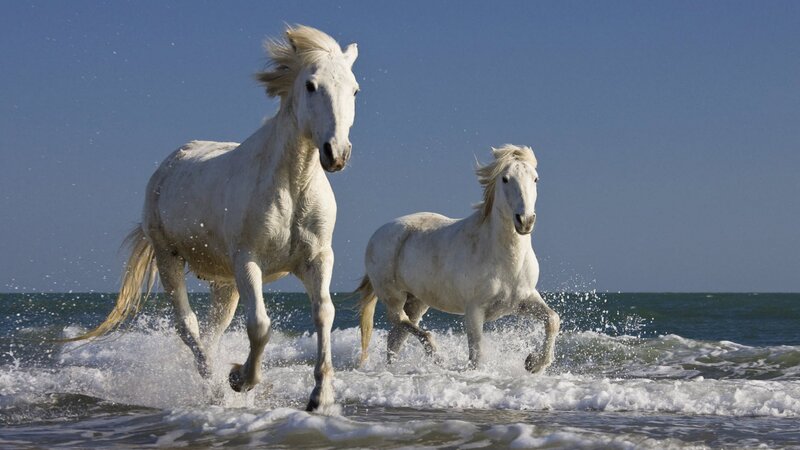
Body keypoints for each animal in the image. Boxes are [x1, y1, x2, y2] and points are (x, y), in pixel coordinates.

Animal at [64, 25, 359, 412]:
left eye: (354, 89)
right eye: (311, 85)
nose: (336, 153)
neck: (292, 184)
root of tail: (169, 164)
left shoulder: (318, 259)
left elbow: (324, 313)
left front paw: (319, 397)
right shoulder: (248, 261)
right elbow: (260, 325)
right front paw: (239, 379)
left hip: (224, 283)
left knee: (210, 332)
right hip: (170, 260)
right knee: (188, 328)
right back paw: (216, 387)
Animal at [357, 145, 560, 373]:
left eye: (535, 178)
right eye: (505, 179)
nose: (525, 221)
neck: (505, 260)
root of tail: (377, 234)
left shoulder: (523, 300)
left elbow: (553, 319)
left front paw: (534, 363)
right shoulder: (474, 311)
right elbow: (477, 354)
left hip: (417, 301)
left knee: (396, 336)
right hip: (393, 296)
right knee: (400, 321)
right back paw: (435, 354)